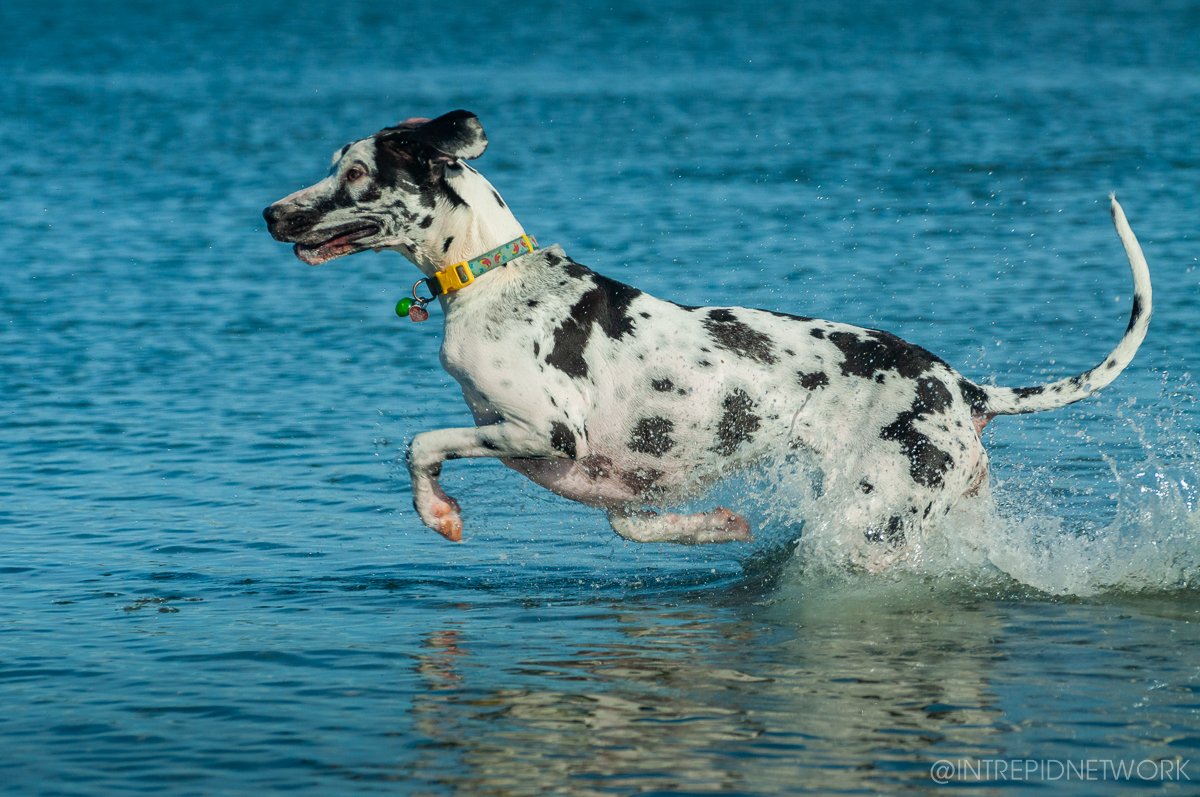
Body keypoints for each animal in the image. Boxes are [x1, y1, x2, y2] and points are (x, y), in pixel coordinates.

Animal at [265, 110, 1152, 559]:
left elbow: (419, 444)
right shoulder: (618, 475)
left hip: (876, 522)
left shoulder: (546, 430)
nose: (271, 212)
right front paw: (713, 526)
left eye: (354, 173)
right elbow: (632, 521)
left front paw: (439, 515)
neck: (493, 281)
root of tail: (962, 385)